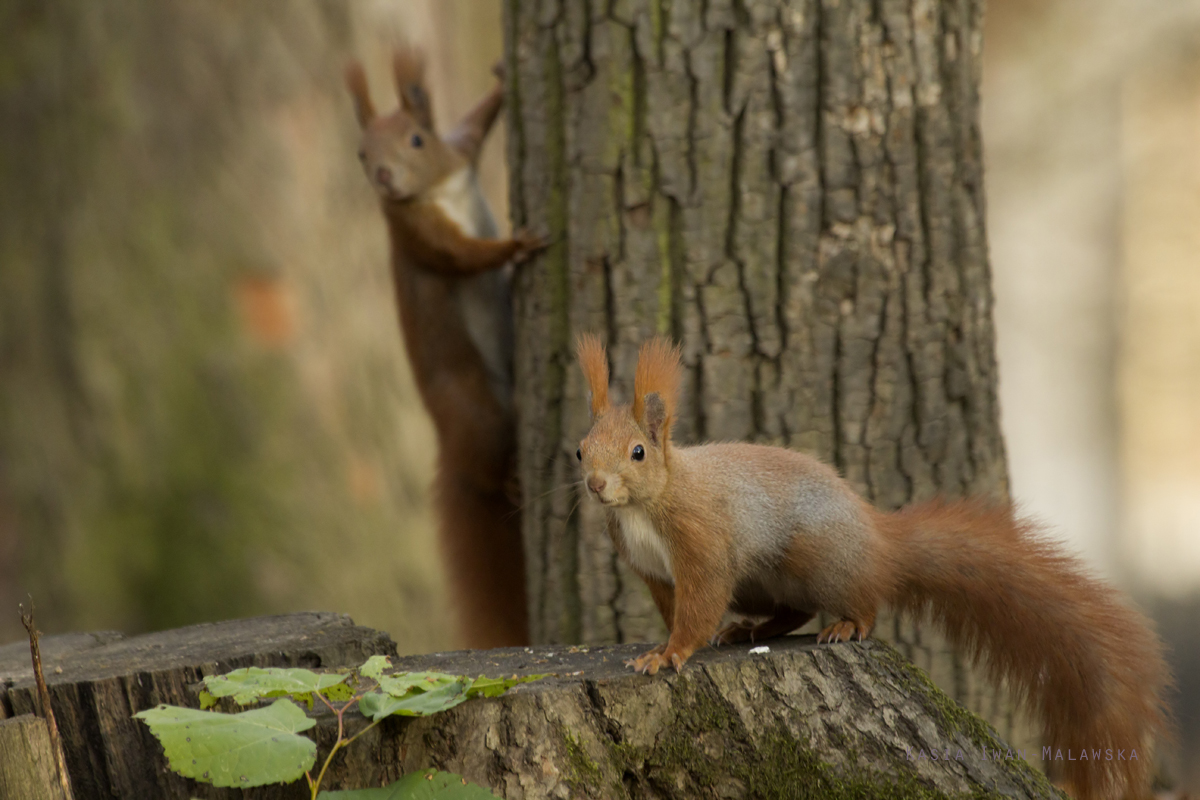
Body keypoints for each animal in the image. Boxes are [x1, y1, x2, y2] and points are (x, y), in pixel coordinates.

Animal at [345, 50, 537, 652]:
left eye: (416, 139)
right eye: (362, 153)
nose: (383, 178)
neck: (437, 189)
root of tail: (446, 440)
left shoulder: (462, 148)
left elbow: (478, 120)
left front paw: (501, 80)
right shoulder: (416, 233)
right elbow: (461, 256)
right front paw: (516, 245)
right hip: (481, 414)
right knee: (487, 472)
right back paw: (511, 481)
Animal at [576, 335, 1166, 800]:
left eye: (637, 452)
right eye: (581, 450)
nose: (595, 485)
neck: (646, 504)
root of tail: (880, 543)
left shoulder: (702, 545)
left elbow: (699, 603)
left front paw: (670, 653)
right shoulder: (654, 573)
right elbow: (673, 604)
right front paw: (661, 645)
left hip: (817, 561)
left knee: (860, 603)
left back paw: (844, 625)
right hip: (766, 583)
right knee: (791, 612)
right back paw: (748, 630)